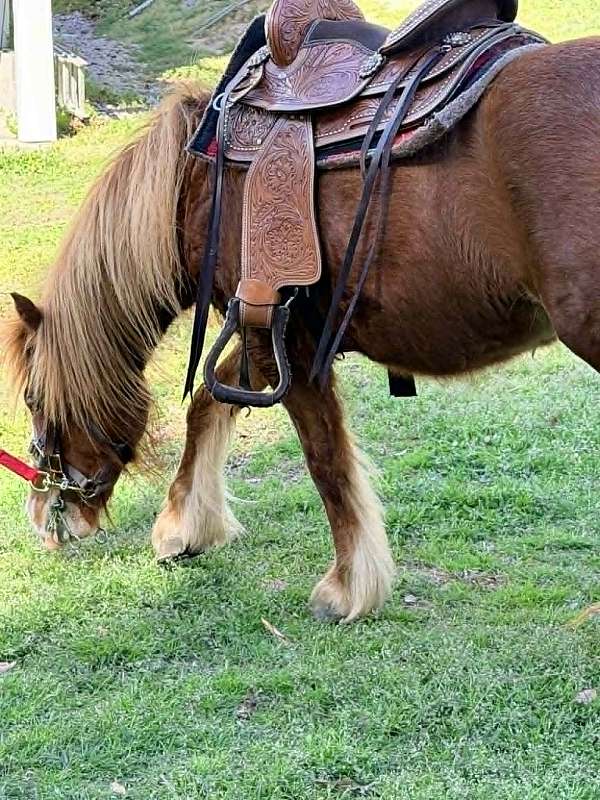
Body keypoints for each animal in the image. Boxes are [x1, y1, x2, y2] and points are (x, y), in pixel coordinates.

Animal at [3, 37, 600, 622]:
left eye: (32, 399)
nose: (43, 515)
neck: (190, 185)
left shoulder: (284, 340)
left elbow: (324, 459)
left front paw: (347, 588)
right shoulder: (258, 332)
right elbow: (208, 405)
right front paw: (184, 527)